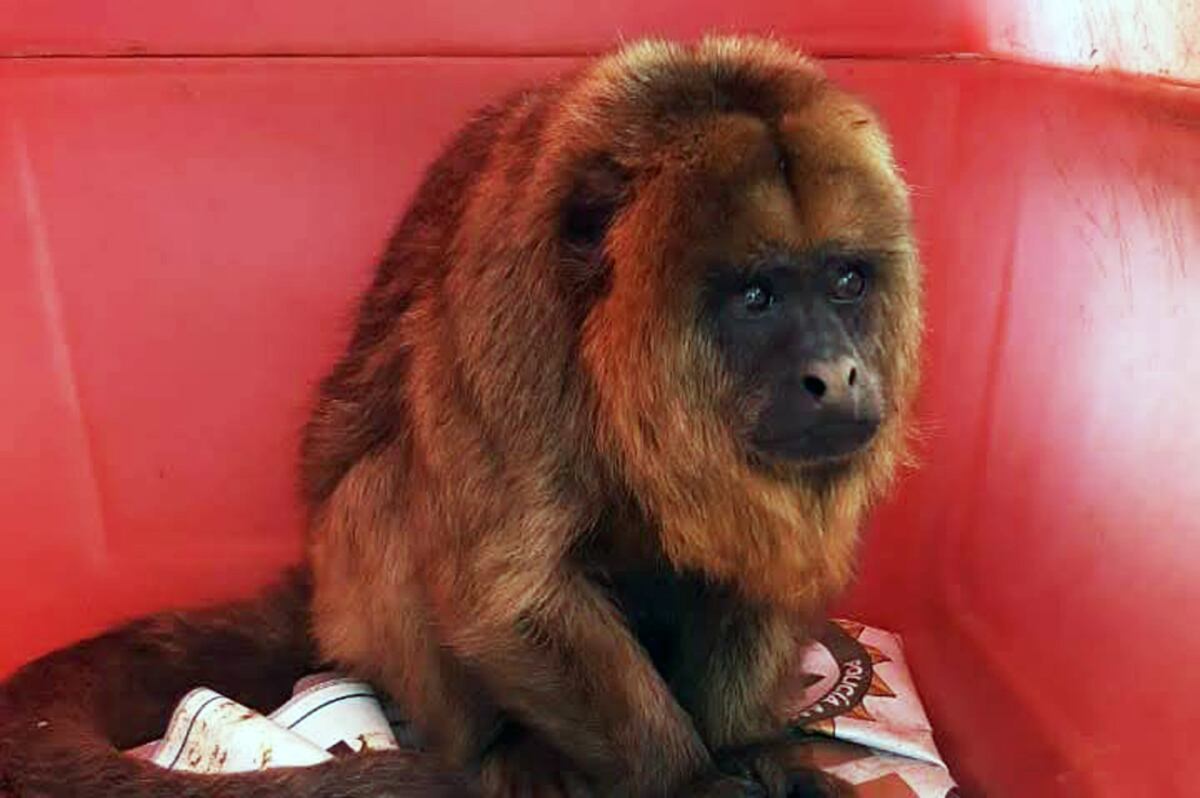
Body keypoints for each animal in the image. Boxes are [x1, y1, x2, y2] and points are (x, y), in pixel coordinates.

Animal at [0, 36, 921, 798]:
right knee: (386, 496)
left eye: (846, 280)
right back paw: (502, 753)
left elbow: (764, 563)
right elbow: (503, 592)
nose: (836, 373)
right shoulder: (514, 306)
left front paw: (748, 750)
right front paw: (691, 782)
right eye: (756, 296)